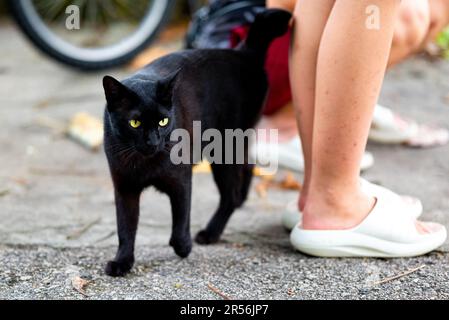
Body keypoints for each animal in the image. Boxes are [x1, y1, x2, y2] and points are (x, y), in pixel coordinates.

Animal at [101, 8, 290, 276]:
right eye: (135, 123)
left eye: (163, 121)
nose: (153, 141)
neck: (145, 163)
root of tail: (244, 52)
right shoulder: (125, 187)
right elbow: (125, 228)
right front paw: (122, 262)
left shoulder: (180, 179)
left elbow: (181, 215)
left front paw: (182, 246)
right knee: (247, 167)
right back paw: (241, 200)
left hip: (224, 151)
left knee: (229, 194)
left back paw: (210, 233)